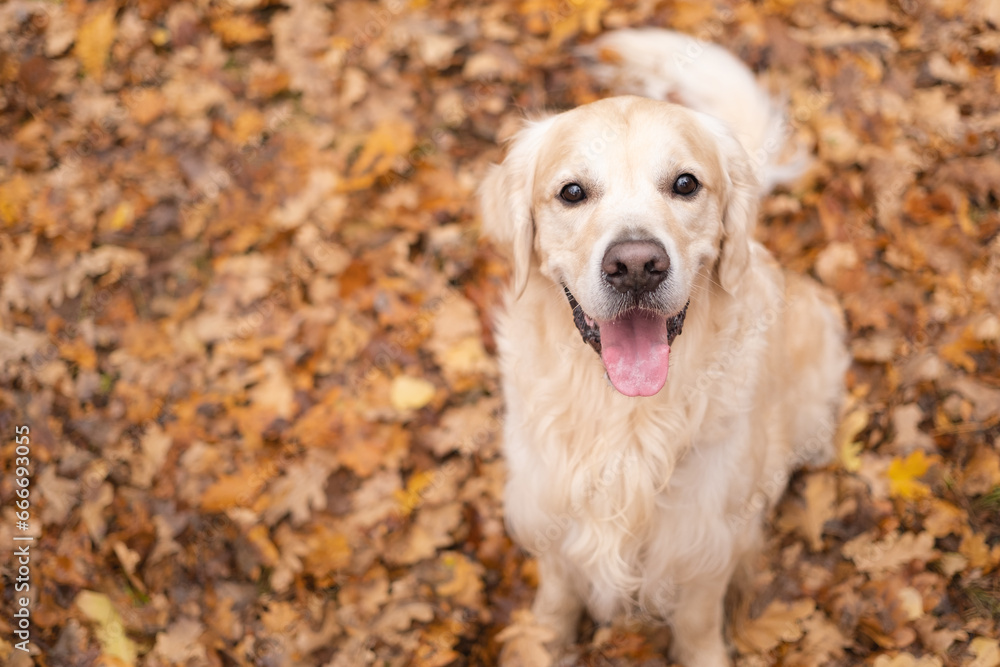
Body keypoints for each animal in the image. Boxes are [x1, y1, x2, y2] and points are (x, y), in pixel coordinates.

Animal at [480, 28, 848, 664]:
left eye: (685, 184)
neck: (625, 421)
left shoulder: (705, 545)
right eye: (572, 192)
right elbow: (555, 599)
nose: (634, 265)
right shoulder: (548, 515)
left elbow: (697, 625)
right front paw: (543, 644)